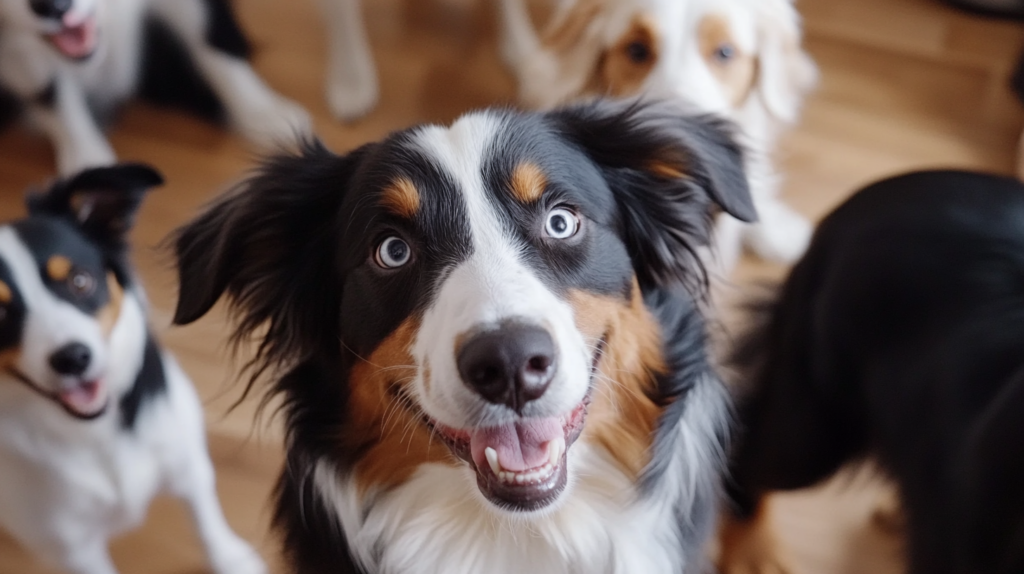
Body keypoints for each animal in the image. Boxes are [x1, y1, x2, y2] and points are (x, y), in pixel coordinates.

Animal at [0, 163, 268, 572]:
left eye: (80, 280)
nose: (73, 358)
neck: (92, 432)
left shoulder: (187, 461)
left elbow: (206, 520)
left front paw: (230, 558)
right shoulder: (71, 546)